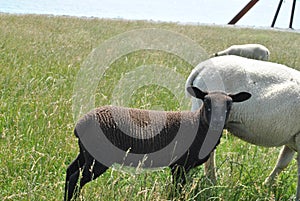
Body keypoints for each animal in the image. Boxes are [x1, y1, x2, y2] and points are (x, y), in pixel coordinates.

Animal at [63, 87, 251, 201]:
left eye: (229, 104)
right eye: (206, 102)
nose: (217, 122)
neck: (197, 125)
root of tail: (80, 124)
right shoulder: (179, 165)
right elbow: (177, 190)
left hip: (86, 153)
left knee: (70, 172)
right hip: (98, 158)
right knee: (75, 178)